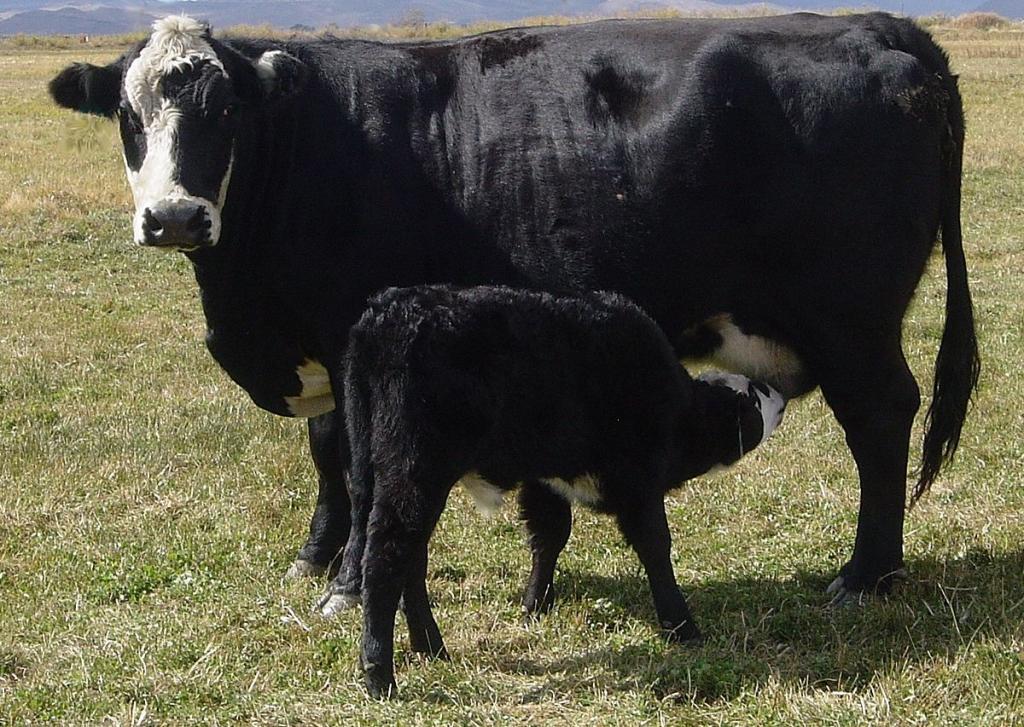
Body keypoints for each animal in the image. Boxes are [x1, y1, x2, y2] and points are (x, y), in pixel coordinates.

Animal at [48, 12, 978, 615]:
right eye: (128, 116)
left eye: (226, 110)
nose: (173, 217)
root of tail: (879, 27)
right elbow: (324, 457)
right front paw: (314, 558)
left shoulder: (356, 340)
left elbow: (356, 462)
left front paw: (346, 584)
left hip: (851, 321)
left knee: (882, 419)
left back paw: (866, 575)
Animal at [343, 284, 786, 697]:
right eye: (752, 398)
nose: (779, 394)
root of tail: (387, 310)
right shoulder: (639, 481)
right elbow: (656, 547)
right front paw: (681, 626)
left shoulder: (546, 482)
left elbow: (549, 536)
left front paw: (534, 606)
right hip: (414, 472)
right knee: (386, 559)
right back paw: (380, 676)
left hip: (383, 471)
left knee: (411, 560)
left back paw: (431, 648)